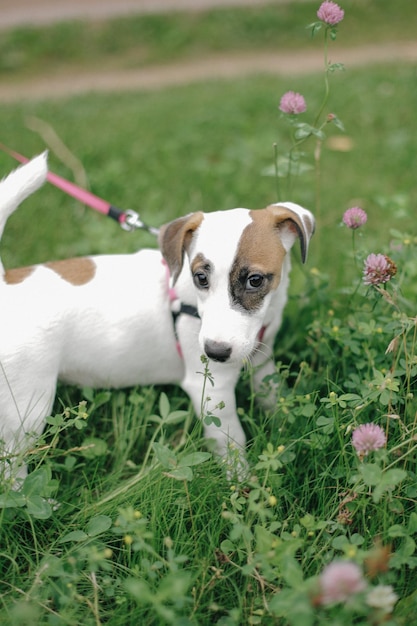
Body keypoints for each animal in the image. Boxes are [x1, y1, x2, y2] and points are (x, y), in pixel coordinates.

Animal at [0, 155, 312, 478]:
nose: (214, 352)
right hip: (27, 407)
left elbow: (271, 394)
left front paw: (284, 422)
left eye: (255, 280)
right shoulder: (214, 392)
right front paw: (243, 485)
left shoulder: (263, 356)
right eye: (201, 278)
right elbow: (233, 444)